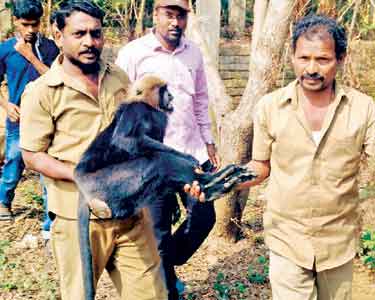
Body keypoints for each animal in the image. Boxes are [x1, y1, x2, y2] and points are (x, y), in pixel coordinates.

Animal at [74, 75, 256, 300]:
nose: (171, 96)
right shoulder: (137, 110)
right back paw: (212, 186)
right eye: (163, 90)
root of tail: (82, 186)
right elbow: (126, 141)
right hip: (108, 183)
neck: (148, 105)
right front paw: (188, 159)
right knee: (158, 161)